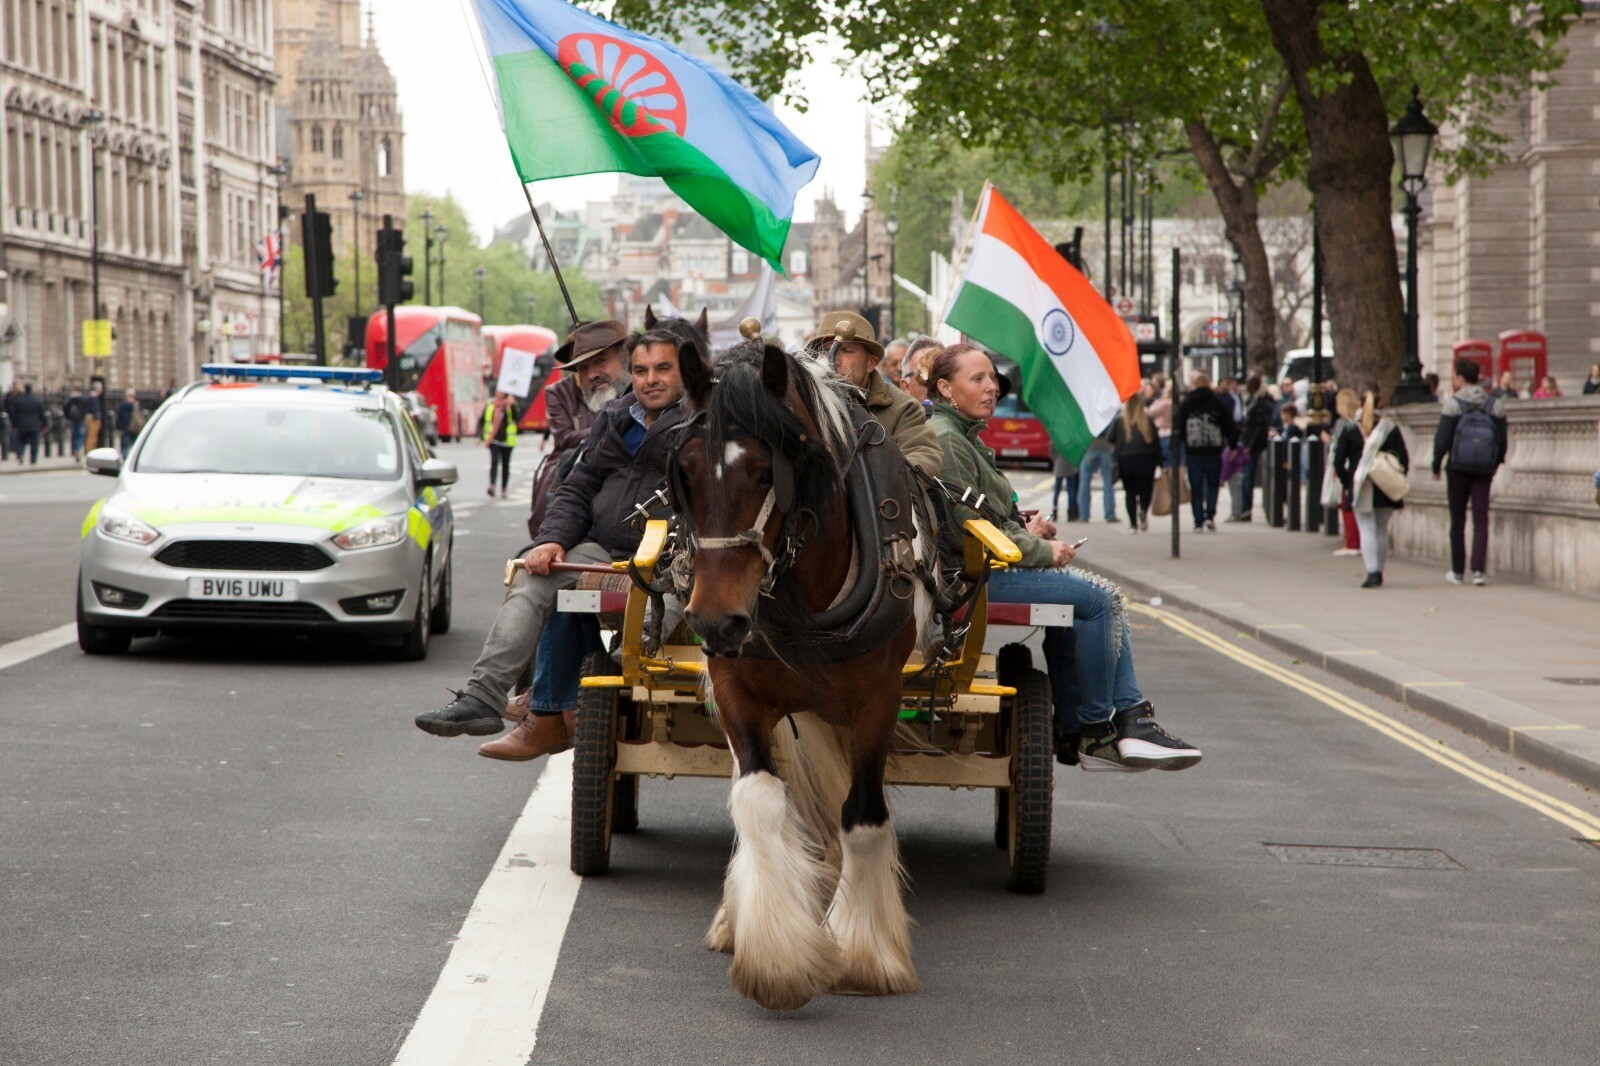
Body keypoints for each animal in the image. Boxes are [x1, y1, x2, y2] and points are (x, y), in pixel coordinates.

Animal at [668, 329, 934, 1005]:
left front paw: (865, 952)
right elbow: (759, 800)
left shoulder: (879, 700)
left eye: (767, 471)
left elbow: (861, 815)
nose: (715, 621)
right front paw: (777, 955)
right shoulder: (736, 690)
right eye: (685, 472)